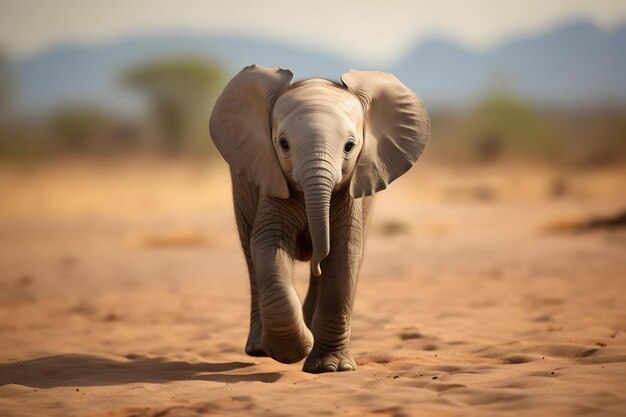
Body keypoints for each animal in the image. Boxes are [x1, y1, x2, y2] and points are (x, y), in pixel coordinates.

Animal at [207, 66, 426, 374]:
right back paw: (261, 348)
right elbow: (268, 245)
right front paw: (293, 350)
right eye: (283, 144)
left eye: (349, 147)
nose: (315, 259)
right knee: (250, 254)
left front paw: (330, 368)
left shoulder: (350, 194)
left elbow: (344, 255)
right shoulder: (272, 179)